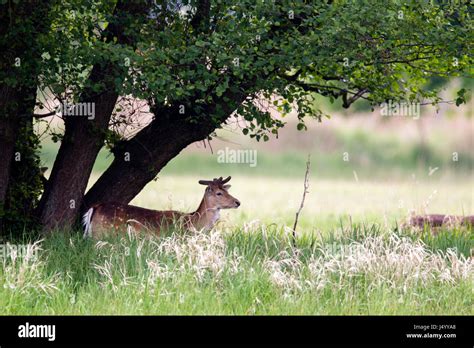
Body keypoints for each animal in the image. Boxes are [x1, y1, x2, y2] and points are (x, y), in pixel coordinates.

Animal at [82, 177, 241, 239]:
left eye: (227, 190)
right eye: (219, 193)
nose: (237, 202)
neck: (193, 222)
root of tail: (95, 207)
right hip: (103, 234)